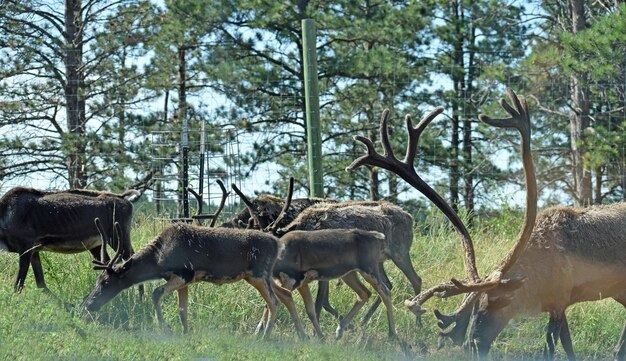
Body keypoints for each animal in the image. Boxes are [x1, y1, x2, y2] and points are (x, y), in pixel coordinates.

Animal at [0, 187, 139, 294]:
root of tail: (124, 198)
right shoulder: (34, 251)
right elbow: (41, 284)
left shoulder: (25, 248)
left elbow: (18, 285)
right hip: (98, 245)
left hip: (118, 237)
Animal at [82, 218, 308, 338]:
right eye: (97, 281)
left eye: (106, 282)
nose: (88, 304)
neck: (158, 260)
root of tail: (278, 244)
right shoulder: (185, 281)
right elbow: (182, 309)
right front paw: (185, 332)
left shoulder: (183, 273)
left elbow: (156, 293)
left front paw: (166, 329)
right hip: (259, 276)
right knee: (285, 294)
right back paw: (302, 334)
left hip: (259, 274)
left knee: (274, 301)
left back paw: (264, 336)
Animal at [346, 88, 624, 360]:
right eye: (472, 307)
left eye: (497, 303)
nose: (473, 343)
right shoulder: (559, 304)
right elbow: (567, 346)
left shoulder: (559, 300)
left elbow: (552, 348)